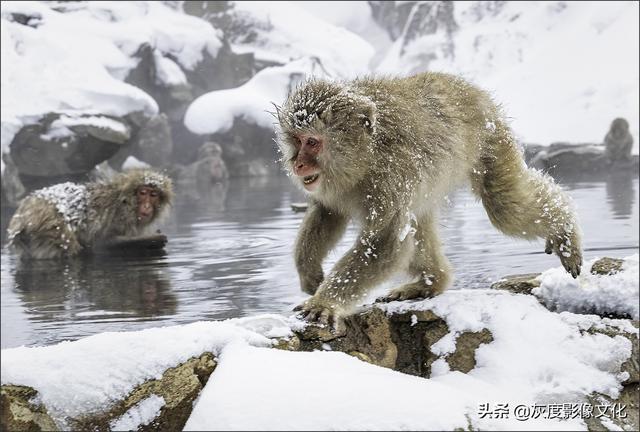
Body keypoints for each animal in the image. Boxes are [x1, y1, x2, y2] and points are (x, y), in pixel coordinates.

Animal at [8, 169, 172, 260]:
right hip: (51, 225)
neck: (126, 203)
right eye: (143, 193)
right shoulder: (116, 216)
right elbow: (101, 243)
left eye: (154, 195)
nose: (147, 205)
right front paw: (152, 240)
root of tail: (22, 216)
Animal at [276, 72, 584, 326]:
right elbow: (328, 213)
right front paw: (309, 270)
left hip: (490, 137)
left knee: (504, 207)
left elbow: (384, 244)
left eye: (312, 142)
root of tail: (466, 87)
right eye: (296, 140)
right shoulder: (336, 186)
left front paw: (325, 302)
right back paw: (431, 282)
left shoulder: (390, 178)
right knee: (417, 220)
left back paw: (564, 232)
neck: (365, 158)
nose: (298, 164)